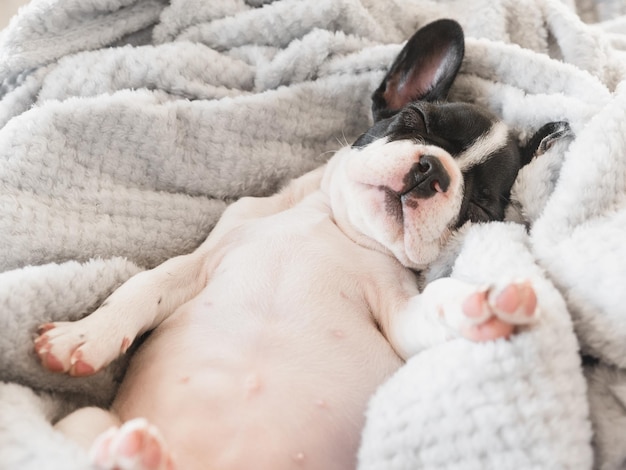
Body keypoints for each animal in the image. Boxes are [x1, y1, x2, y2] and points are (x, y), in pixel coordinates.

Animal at [37, 18, 552, 470]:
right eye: (414, 118)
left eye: (480, 207)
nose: (432, 171)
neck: (334, 225)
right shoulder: (212, 251)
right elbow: (147, 284)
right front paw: (85, 334)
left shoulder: (399, 313)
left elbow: (433, 305)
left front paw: (483, 303)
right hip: (85, 420)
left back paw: (139, 453)